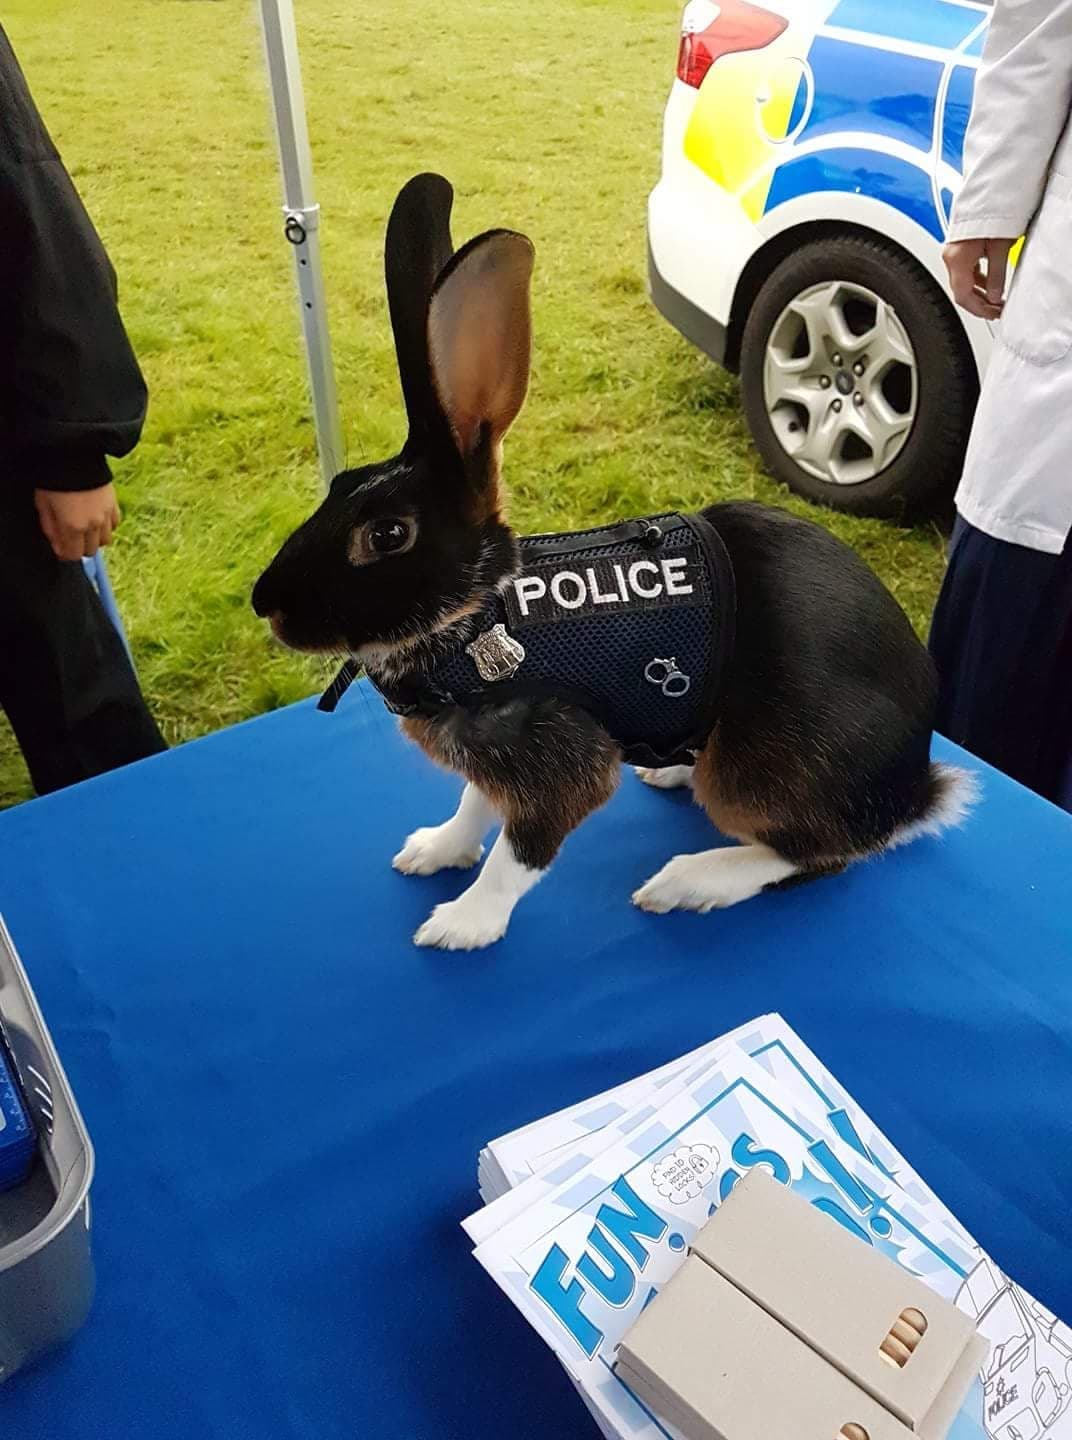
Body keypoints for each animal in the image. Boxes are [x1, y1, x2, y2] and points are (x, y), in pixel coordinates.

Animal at [253, 174, 979, 950]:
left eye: (387, 535)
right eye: (336, 486)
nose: (266, 604)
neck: (479, 616)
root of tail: (913, 788)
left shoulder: (558, 760)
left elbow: (518, 853)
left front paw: (461, 925)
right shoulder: (495, 764)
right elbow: (476, 805)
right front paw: (433, 850)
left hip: (766, 773)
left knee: (818, 853)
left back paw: (689, 882)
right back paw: (671, 780)